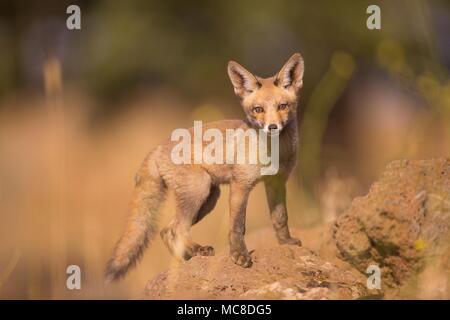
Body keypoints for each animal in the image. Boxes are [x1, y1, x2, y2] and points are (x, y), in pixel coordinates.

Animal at [105, 53, 304, 282]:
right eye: (258, 110)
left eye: (283, 106)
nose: (272, 127)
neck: (274, 151)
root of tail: (158, 146)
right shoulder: (241, 184)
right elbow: (238, 225)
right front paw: (239, 255)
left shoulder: (277, 183)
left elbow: (280, 218)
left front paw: (286, 243)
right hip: (199, 189)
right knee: (177, 228)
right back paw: (196, 252)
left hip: (209, 197)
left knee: (167, 230)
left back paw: (189, 256)